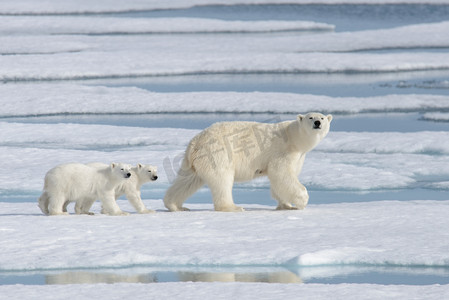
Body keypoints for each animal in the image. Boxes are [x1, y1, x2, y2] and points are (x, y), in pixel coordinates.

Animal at [163, 111, 330, 212]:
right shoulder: (283, 151)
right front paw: (302, 201)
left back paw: (175, 205)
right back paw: (233, 207)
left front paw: (286, 205)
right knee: (222, 181)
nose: (317, 123)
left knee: (187, 181)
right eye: (310, 117)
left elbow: (280, 180)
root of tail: (196, 142)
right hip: (218, 154)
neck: (293, 137)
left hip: (194, 162)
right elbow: (281, 174)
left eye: (322, 117)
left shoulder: (298, 156)